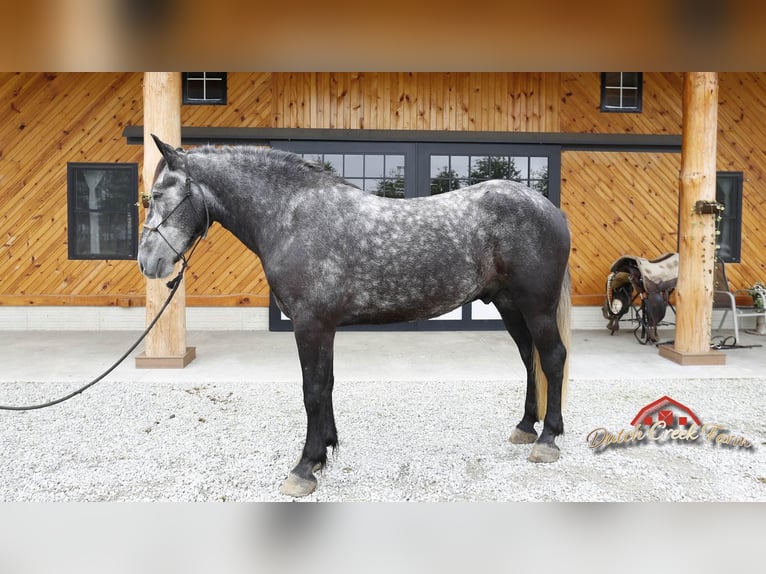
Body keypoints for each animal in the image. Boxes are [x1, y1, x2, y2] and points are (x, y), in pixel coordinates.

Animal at [136, 136, 568, 500]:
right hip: (510, 306)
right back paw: (525, 427)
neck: (291, 216)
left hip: (536, 307)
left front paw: (304, 467)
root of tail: (551, 210)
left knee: (552, 359)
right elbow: (325, 385)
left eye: (156, 195)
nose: (147, 262)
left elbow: (312, 390)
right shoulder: (322, 327)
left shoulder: (311, 325)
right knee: (530, 359)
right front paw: (325, 449)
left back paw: (547, 440)